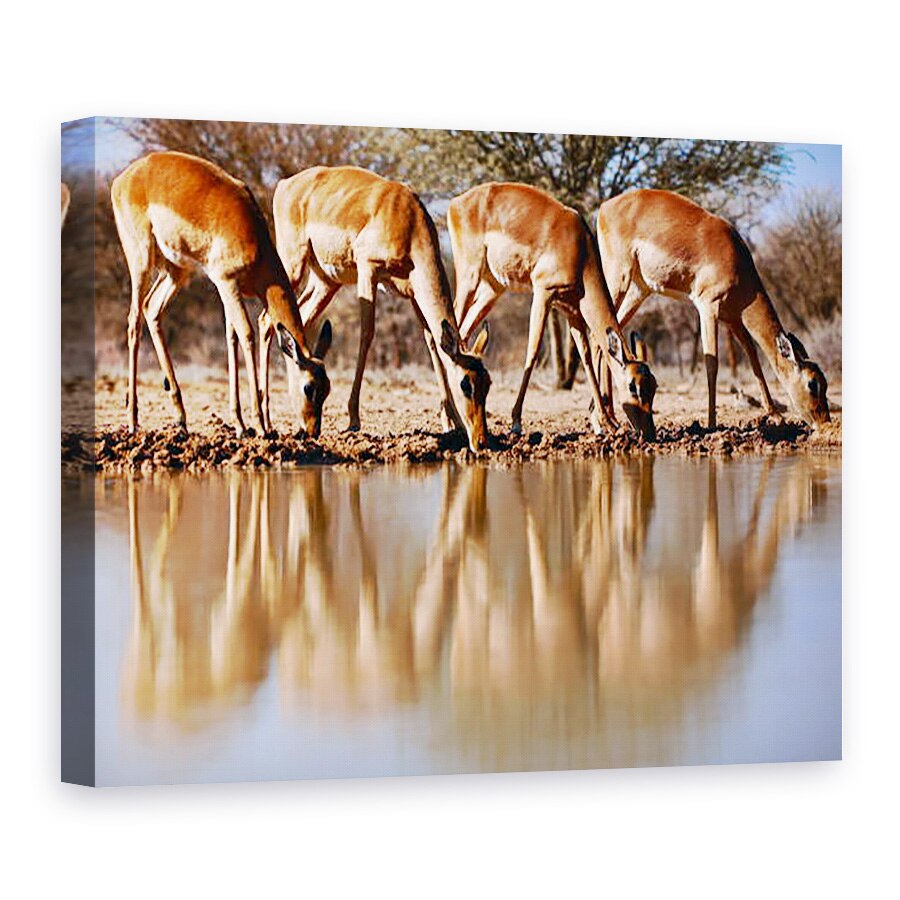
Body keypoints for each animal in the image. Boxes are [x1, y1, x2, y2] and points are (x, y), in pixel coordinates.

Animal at [111, 151, 332, 438]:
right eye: (308, 387)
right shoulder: (227, 283)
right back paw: (133, 421)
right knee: (133, 322)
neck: (254, 239)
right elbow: (247, 334)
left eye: (327, 388)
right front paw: (261, 427)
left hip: (176, 270)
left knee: (152, 309)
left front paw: (240, 424)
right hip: (141, 261)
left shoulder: (227, 288)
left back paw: (181, 418)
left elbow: (231, 338)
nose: (313, 431)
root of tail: (123, 177)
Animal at [258, 166, 492, 451]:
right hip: (292, 267)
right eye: (465, 384)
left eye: (487, 383)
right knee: (266, 320)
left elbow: (432, 344)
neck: (408, 221)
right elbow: (367, 334)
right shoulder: (367, 270)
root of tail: (285, 183)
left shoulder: (413, 293)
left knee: (297, 321)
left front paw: (453, 422)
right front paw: (353, 420)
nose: (481, 441)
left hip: (326, 282)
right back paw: (267, 421)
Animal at [448, 182, 657, 440]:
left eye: (654, 386)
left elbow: (586, 357)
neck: (580, 251)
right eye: (633, 386)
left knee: (464, 332)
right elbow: (533, 351)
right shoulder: (543, 293)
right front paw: (516, 423)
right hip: (469, 277)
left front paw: (604, 424)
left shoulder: (572, 311)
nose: (650, 433)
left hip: (492, 288)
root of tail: (456, 202)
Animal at [596, 189, 830, 430]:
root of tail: (605, 206)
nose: (825, 422)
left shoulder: (734, 319)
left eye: (825, 383)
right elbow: (712, 363)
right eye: (812, 384)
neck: (736, 261)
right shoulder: (708, 307)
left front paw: (775, 414)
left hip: (638, 291)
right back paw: (605, 420)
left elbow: (753, 357)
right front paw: (710, 423)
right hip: (618, 280)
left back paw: (609, 418)